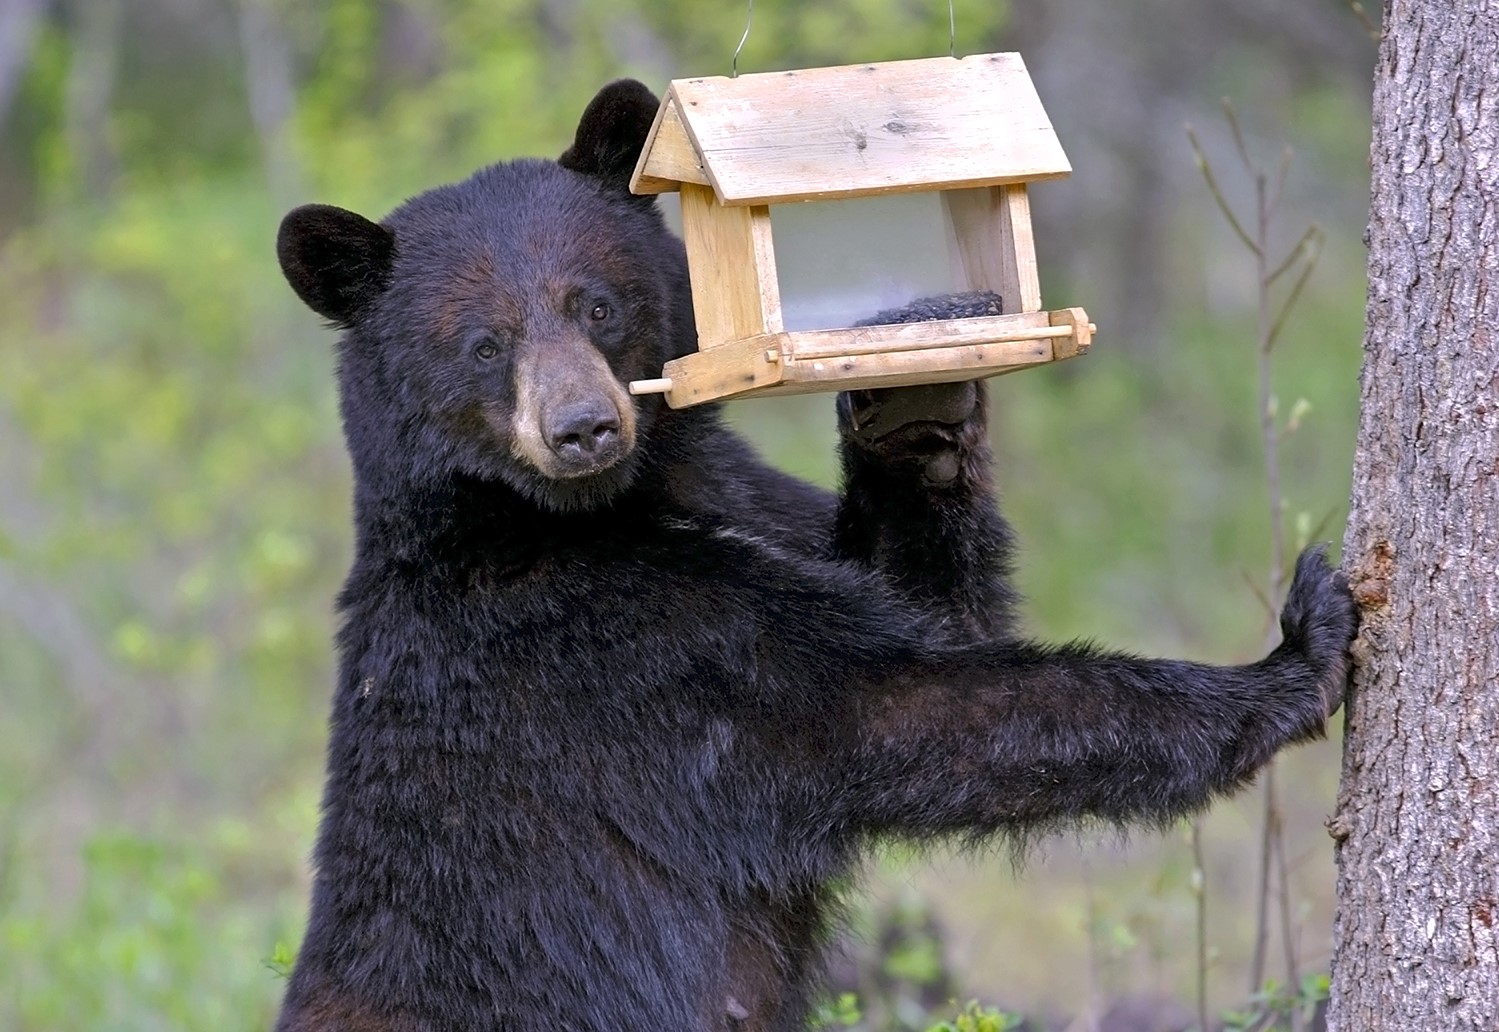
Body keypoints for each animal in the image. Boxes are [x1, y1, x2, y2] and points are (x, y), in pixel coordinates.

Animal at [269, 82, 1361, 1032]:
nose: (582, 427)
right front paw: (1294, 655)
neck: (579, 513)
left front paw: (914, 385)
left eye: (595, 306)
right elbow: (906, 705)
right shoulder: (619, 655)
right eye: (482, 344)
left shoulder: (753, 506)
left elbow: (926, 604)